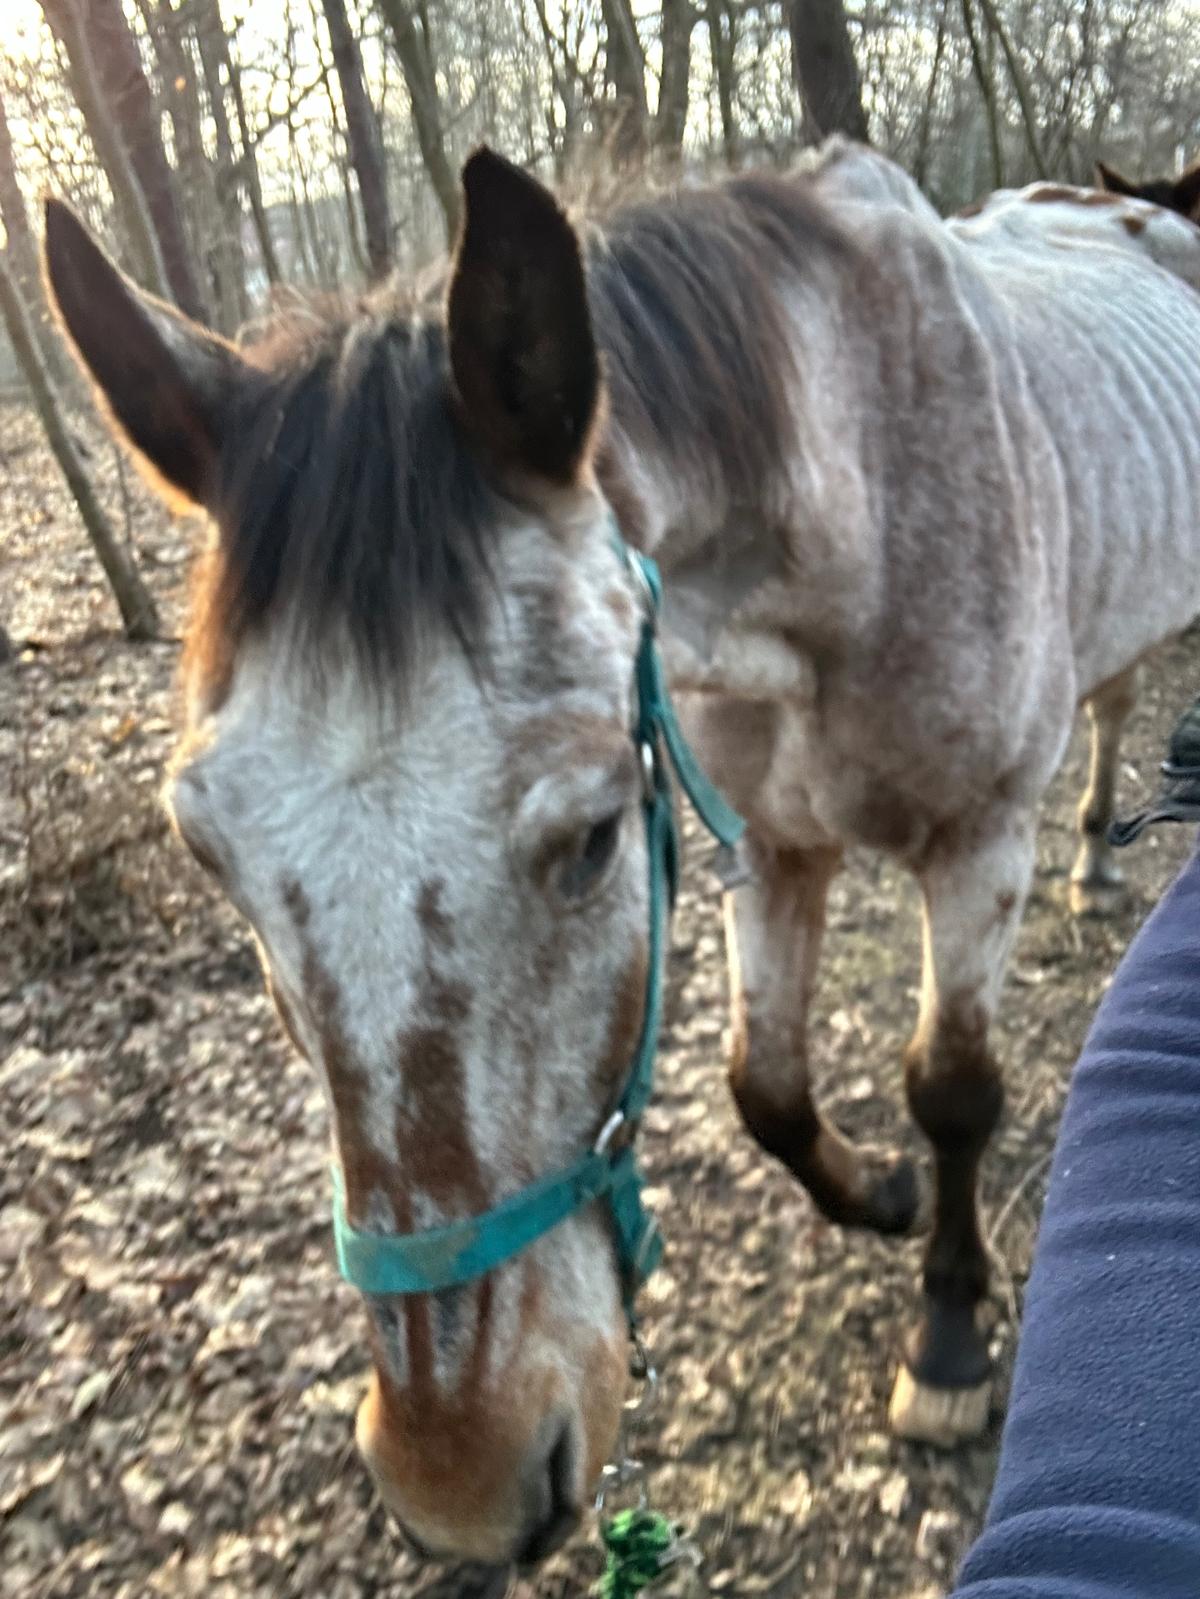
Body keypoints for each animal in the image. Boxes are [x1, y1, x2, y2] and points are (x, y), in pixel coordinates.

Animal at [43, 137, 1200, 1567]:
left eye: (595, 835)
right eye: (209, 853)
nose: (460, 1482)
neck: (863, 497)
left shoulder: (974, 840)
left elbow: (953, 1091)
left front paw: (947, 1342)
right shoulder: (772, 843)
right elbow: (766, 1088)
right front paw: (880, 1195)